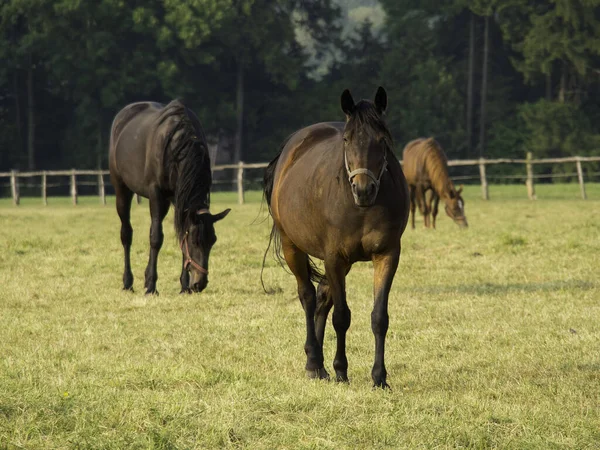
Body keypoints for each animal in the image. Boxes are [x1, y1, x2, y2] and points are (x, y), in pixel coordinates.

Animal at [108, 99, 230, 296]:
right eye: (195, 241)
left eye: (213, 241)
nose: (199, 284)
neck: (178, 146)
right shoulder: (157, 194)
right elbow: (156, 238)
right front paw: (151, 286)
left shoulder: (179, 199)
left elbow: (180, 234)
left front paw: (184, 286)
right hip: (122, 189)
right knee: (126, 234)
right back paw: (128, 283)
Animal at [262, 87, 408, 386]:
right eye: (347, 139)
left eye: (382, 140)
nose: (363, 189)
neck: (361, 208)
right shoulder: (334, 257)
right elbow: (341, 316)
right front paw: (341, 369)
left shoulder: (387, 254)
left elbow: (379, 317)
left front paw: (379, 377)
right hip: (293, 246)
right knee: (308, 296)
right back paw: (314, 361)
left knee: (321, 299)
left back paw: (318, 365)